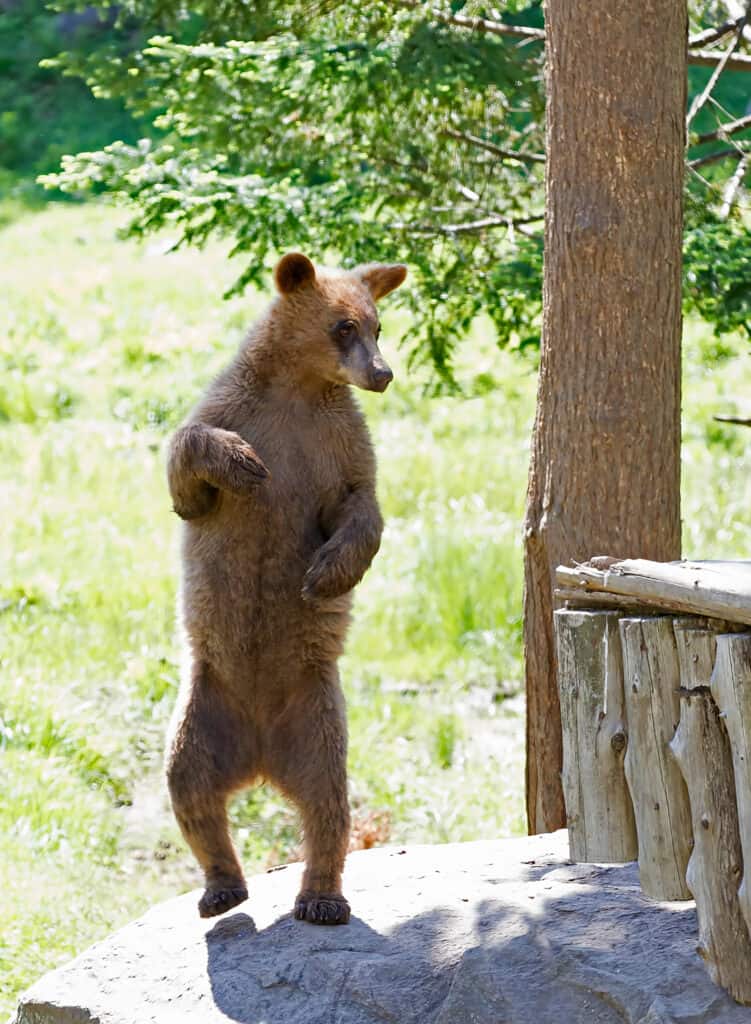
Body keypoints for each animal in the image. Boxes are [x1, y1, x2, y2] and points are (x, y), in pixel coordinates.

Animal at [162, 251, 403, 925]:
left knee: (327, 806)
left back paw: (321, 898)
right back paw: (221, 888)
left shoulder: (337, 443)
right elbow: (188, 465)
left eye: (377, 324)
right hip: (203, 709)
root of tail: (263, 761)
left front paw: (326, 572)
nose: (382, 374)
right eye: (344, 326)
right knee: (189, 790)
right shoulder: (235, 408)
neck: (297, 389)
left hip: (316, 715)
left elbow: (361, 505)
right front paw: (242, 463)